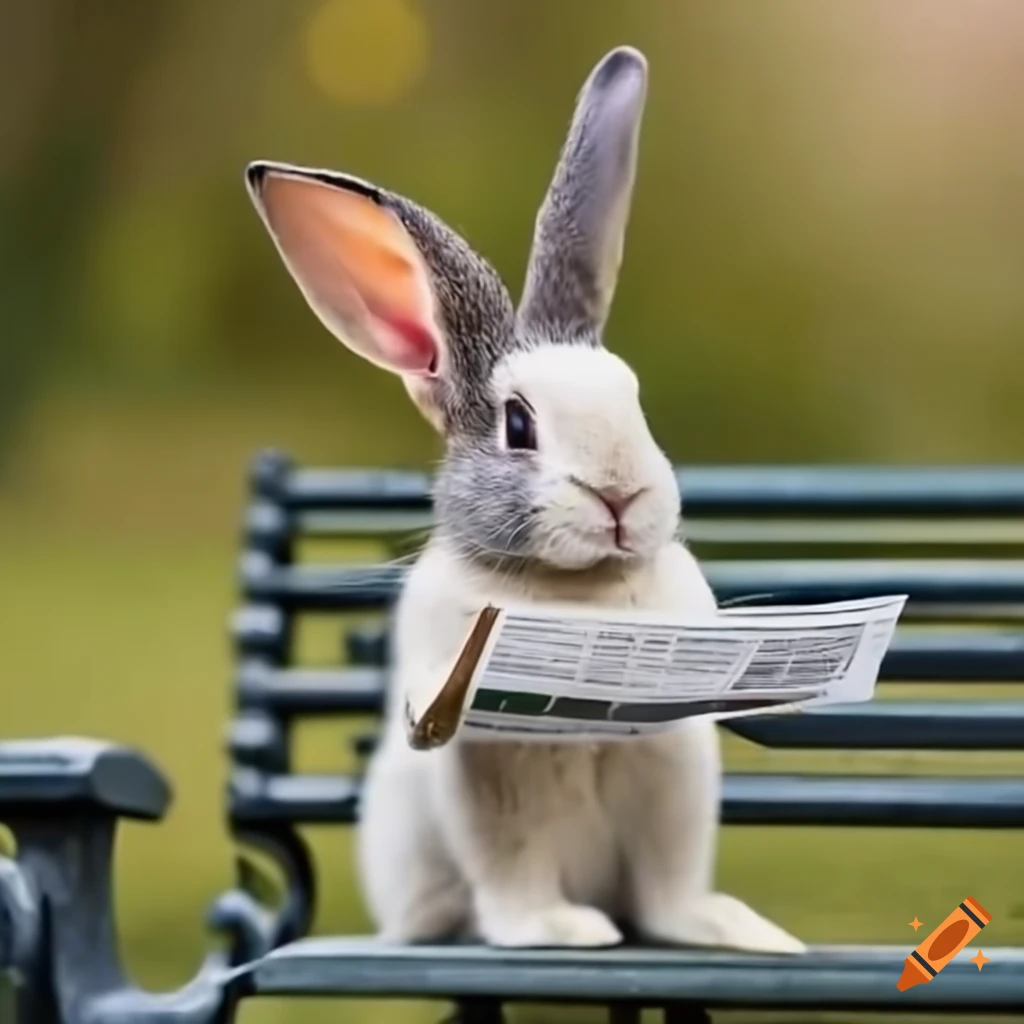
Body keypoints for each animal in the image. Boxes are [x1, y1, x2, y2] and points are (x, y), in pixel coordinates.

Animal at [244, 45, 805, 955]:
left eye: (635, 400)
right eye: (518, 423)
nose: (620, 495)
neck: (572, 590)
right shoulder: (484, 755)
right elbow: (505, 851)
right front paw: (552, 929)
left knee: (665, 898)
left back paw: (732, 929)